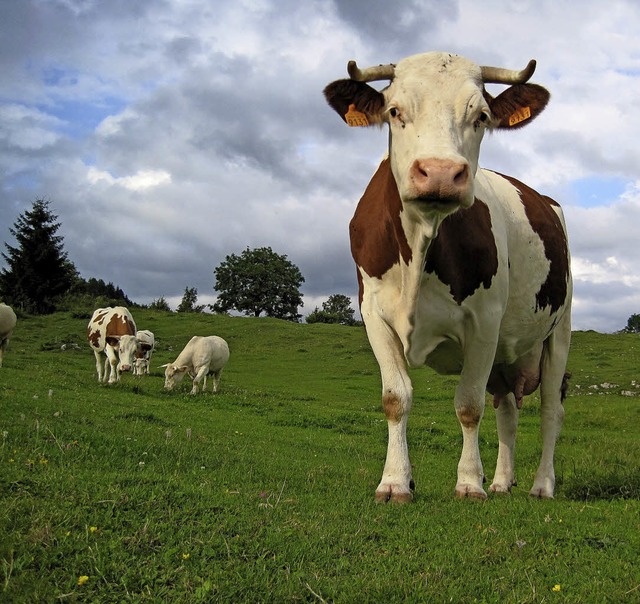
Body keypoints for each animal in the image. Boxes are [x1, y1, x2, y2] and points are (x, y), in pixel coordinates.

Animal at [328, 52, 572, 502]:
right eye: (394, 111)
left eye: (482, 115)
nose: (440, 173)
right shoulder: (373, 315)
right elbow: (395, 398)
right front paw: (396, 481)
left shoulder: (484, 323)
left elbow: (469, 405)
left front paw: (469, 482)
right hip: (506, 354)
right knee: (507, 410)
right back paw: (502, 481)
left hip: (559, 331)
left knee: (551, 408)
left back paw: (541, 484)